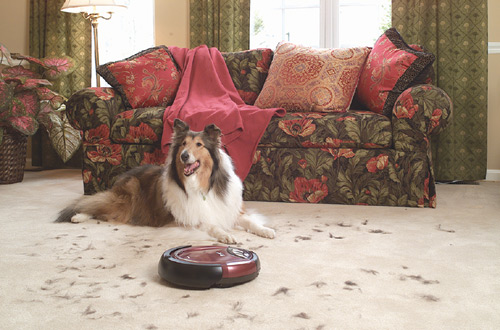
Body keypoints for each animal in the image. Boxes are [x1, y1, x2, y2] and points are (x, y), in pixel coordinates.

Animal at [56, 118, 276, 242]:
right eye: (183, 144)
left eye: (199, 145)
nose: (184, 156)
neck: (201, 184)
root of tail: (124, 176)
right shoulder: (185, 219)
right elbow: (210, 225)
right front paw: (226, 235)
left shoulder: (230, 210)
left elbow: (250, 222)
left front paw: (266, 231)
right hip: (126, 201)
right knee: (95, 206)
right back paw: (78, 216)